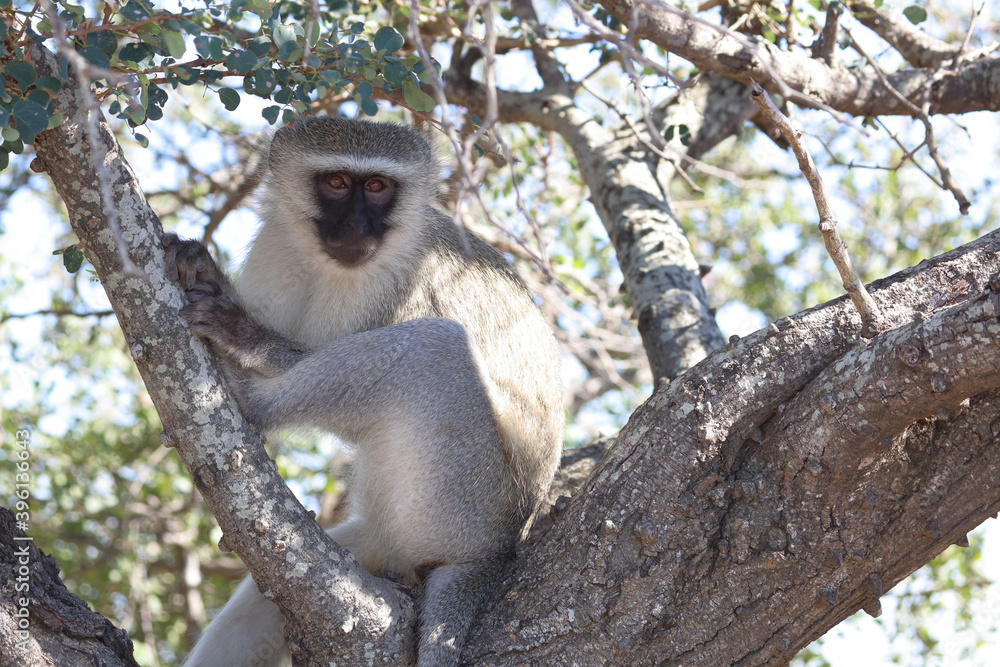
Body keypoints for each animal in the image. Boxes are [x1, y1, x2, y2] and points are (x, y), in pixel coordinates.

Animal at [165, 116, 564, 667]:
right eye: (336, 183)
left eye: (377, 187)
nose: (356, 228)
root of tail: (497, 551)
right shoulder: (275, 246)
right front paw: (204, 269)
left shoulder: (395, 282)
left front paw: (249, 338)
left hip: (464, 498)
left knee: (438, 349)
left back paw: (248, 396)